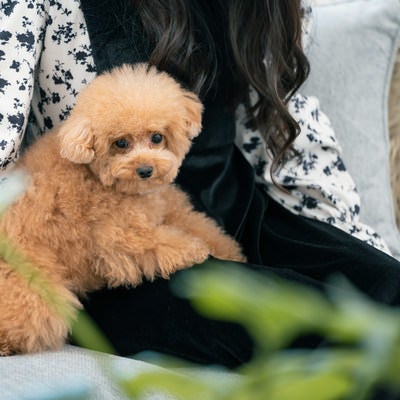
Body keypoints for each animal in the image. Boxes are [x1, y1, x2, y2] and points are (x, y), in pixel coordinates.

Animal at [0, 64, 245, 354]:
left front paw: (229, 253)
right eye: (121, 143)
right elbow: (164, 243)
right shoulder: (120, 240)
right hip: (35, 286)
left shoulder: (167, 206)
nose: (145, 170)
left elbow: (201, 226)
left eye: (157, 137)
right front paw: (196, 250)